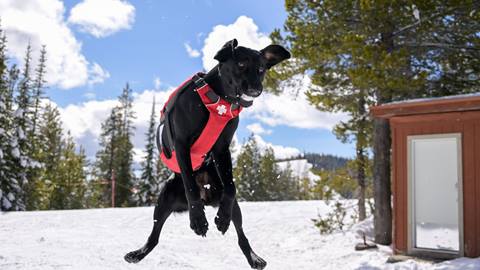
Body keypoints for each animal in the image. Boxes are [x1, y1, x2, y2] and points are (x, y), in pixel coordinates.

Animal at [124, 39, 288, 268]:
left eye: (262, 69)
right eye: (241, 64)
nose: (256, 89)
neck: (218, 101)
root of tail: (206, 197)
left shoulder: (222, 150)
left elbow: (231, 187)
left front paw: (222, 218)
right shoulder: (182, 145)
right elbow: (190, 185)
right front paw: (198, 221)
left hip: (233, 206)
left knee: (241, 235)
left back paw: (253, 256)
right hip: (163, 200)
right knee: (154, 236)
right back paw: (137, 254)